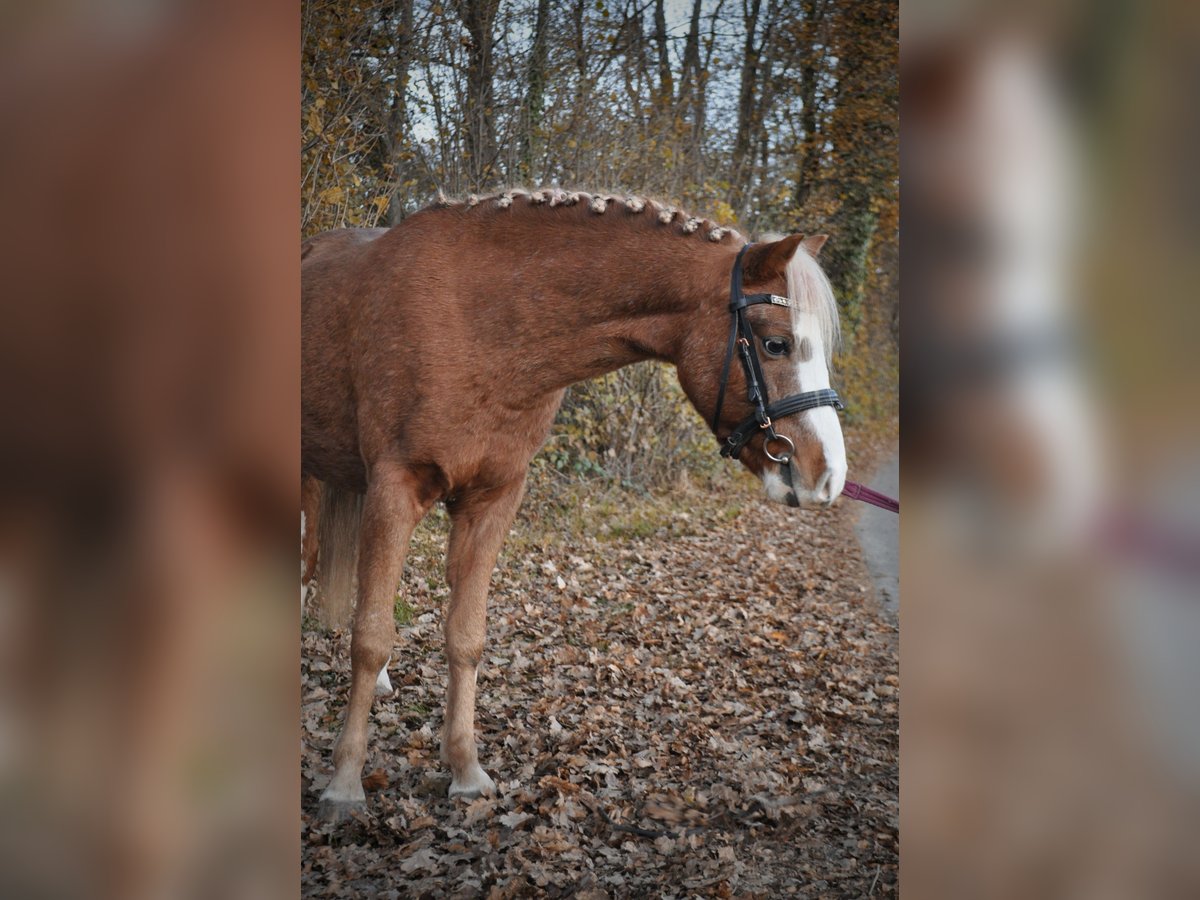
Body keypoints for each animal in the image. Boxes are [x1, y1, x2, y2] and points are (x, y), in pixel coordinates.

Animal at [300, 188, 844, 816]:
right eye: (776, 343)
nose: (829, 475)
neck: (479, 321)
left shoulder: (494, 498)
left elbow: (465, 637)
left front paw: (465, 769)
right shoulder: (394, 488)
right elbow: (369, 638)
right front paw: (344, 782)